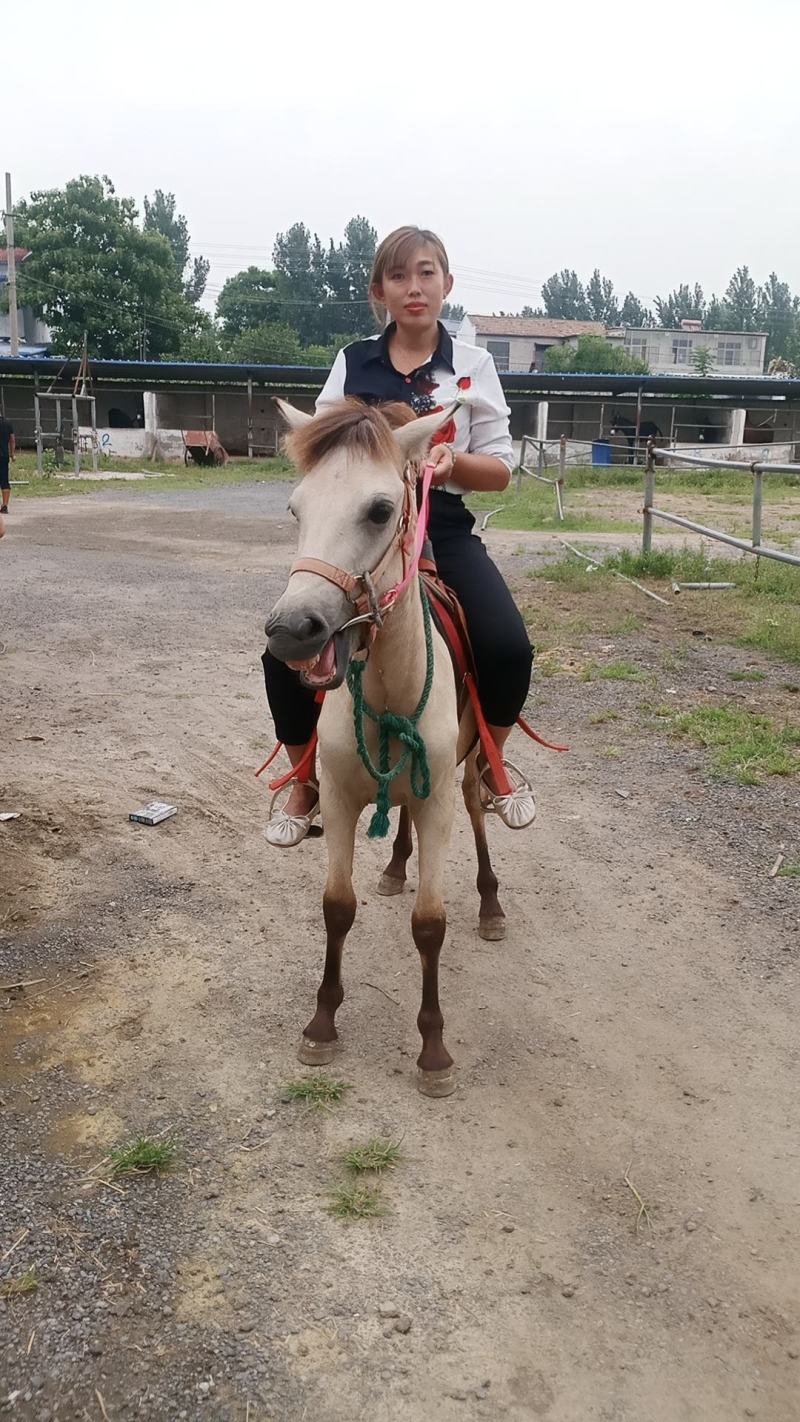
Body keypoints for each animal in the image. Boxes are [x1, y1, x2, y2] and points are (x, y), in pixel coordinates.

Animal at [264, 398, 506, 1098]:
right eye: (295, 508)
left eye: (378, 511)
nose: (292, 630)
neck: (390, 687)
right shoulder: (345, 798)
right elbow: (337, 907)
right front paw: (321, 1025)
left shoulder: (438, 804)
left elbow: (430, 923)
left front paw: (434, 1051)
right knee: (399, 825)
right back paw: (397, 867)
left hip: (467, 776)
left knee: (479, 814)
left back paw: (491, 903)